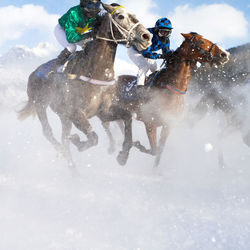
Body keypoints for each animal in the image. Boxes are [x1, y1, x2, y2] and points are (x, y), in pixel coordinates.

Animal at [18, 2, 151, 171]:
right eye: (120, 16)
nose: (147, 36)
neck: (95, 72)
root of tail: (34, 72)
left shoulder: (103, 112)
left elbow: (127, 117)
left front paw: (123, 156)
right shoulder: (76, 113)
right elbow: (93, 138)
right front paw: (78, 141)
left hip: (63, 116)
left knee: (63, 137)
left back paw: (74, 171)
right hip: (40, 104)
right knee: (48, 132)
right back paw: (63, 153)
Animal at [115, 32, 230, 167]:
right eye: (201, 42)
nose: (224, 54)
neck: (171, 89)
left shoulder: (168, 126)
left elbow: (159, 153)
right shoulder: (150, 123)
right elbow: (154, 150)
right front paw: (133, 147)